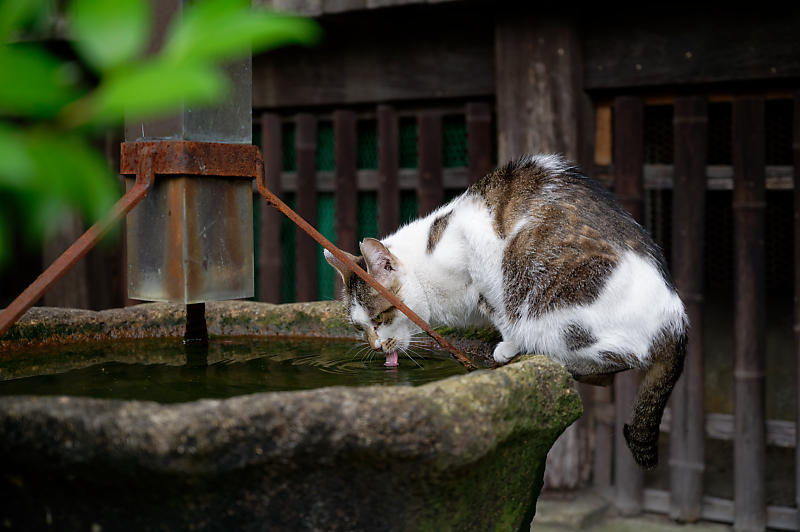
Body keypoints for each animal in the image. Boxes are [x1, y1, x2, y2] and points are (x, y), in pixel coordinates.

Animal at [324, 152, 688, 468]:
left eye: (379, 318)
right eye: (359, 327)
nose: (375, 346)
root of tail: (676, 323)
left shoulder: (481, 269)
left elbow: (499, 312)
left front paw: (505, 347)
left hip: (557, 305)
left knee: (615, 356)